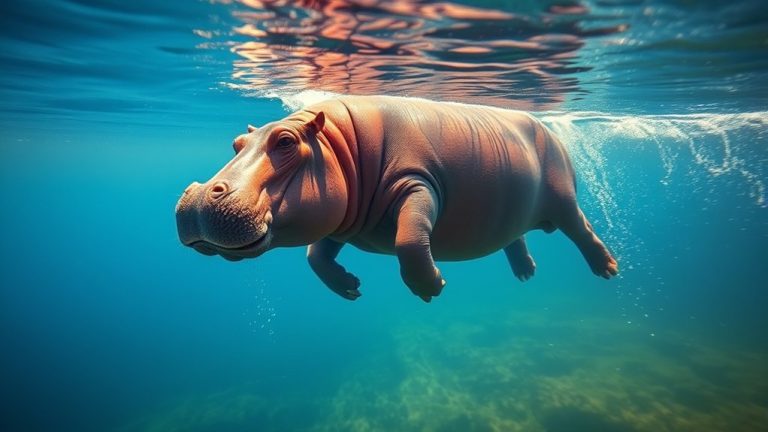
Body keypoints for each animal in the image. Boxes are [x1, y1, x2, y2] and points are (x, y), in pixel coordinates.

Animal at [175, 95, 618, 302]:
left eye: (284, 141)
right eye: (237, 142)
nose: (200, 196)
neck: (339, 143)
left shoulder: (417, 184)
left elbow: (410, 236)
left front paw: (431, 286)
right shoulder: (344, 219)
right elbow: (316, 256)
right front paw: (350, 288)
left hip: (563, 197)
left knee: (581, 229)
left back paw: (608, 269)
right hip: (514, 211)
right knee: (515, 235)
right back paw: (526, 272)